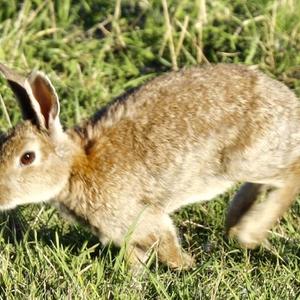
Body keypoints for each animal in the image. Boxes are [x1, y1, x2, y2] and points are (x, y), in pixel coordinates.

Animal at [0, 61, 300, 272]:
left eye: (27, 158)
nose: (1, 197)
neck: (74, 168)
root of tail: (291, 106)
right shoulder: (129, 235)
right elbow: (137, 261)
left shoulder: (144, 219)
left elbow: (167, 246)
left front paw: (188, 265)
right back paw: (236, 221)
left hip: (245, 158)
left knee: (290, 174)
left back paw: (248, 232)